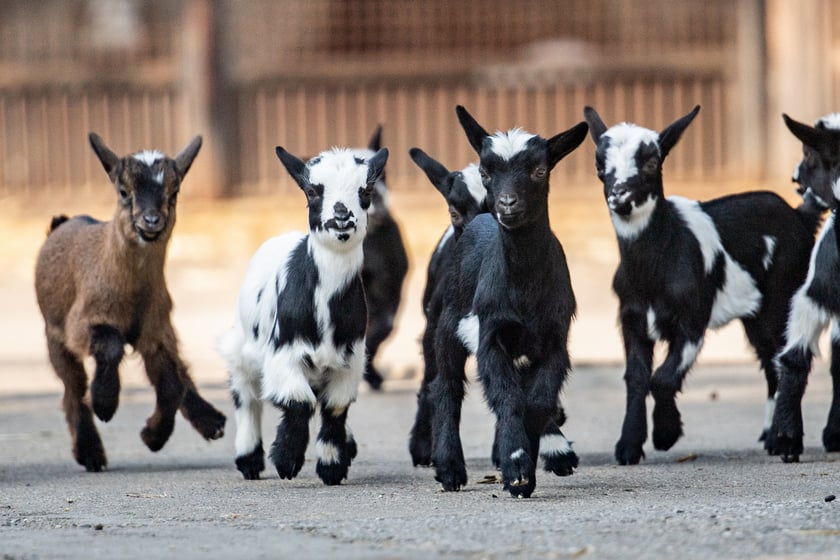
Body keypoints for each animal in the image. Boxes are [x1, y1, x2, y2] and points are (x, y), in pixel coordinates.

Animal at [217, 144, 388, 482]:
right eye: (312, 190)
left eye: (366, 190)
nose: (341, 216)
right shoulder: (283, 353)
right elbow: (298, 401)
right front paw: (286, 459)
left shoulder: (350, 360)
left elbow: (335, 408)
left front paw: (333, 465)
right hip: (241, 345)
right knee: (246, 395)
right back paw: (249, 459)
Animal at [424, 106, 588, 498]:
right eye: (487, 172)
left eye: (539, 170)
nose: (507, 205)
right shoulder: (490, 336)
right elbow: (508, 397)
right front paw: (516, 467)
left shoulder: (554, 340)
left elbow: (537, 401)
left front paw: (524, 460)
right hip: (448, 323)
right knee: (446, 386)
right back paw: (450, 469)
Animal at [588, 107, 816, 466]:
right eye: (599, 163)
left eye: (652, 161)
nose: (620, 198)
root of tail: (799, 217)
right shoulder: (631, 319)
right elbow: (636, 377)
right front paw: (628, 446)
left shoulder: (692, 321)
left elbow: (662, 378)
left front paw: (666, 434)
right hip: (756, 316)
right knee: (771, 362)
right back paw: (771, 436)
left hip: (784, 297)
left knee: (790, 357)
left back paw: (787, 443)